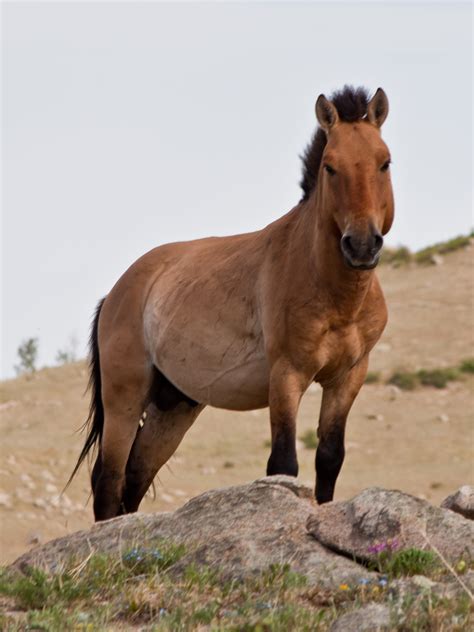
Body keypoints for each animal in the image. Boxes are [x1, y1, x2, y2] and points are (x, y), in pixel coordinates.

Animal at [69, 84, 392, 520]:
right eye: (330, 167)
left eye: (384, 163)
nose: (360, 245)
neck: (334, 294)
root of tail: (117, 292)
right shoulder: (287, 374)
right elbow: (283, 464)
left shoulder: (348, 376)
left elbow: (329, 458)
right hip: (125, 398)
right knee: (109, 480)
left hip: (174, 407)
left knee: (135, 477)